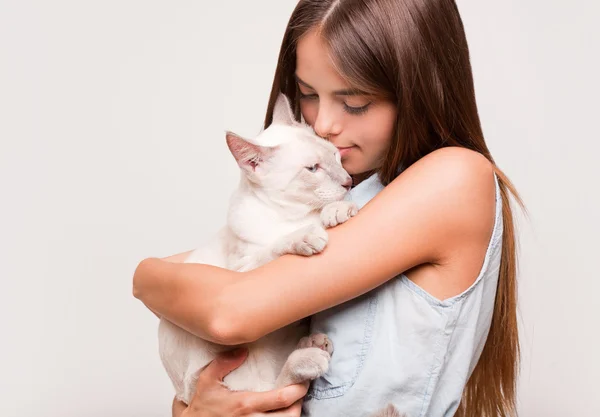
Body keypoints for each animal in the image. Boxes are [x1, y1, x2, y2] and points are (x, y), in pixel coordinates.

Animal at [157, 93, 358, 404]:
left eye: (336, 155)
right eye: (313, 169)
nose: (348, 181)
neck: (289, 215)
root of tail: (186, 395)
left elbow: (327, 212)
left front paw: (337, 210)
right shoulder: (242, 271)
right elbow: (274, 247)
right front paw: (306, 236)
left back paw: (312, 344)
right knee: (269, 390)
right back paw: (310, 357)